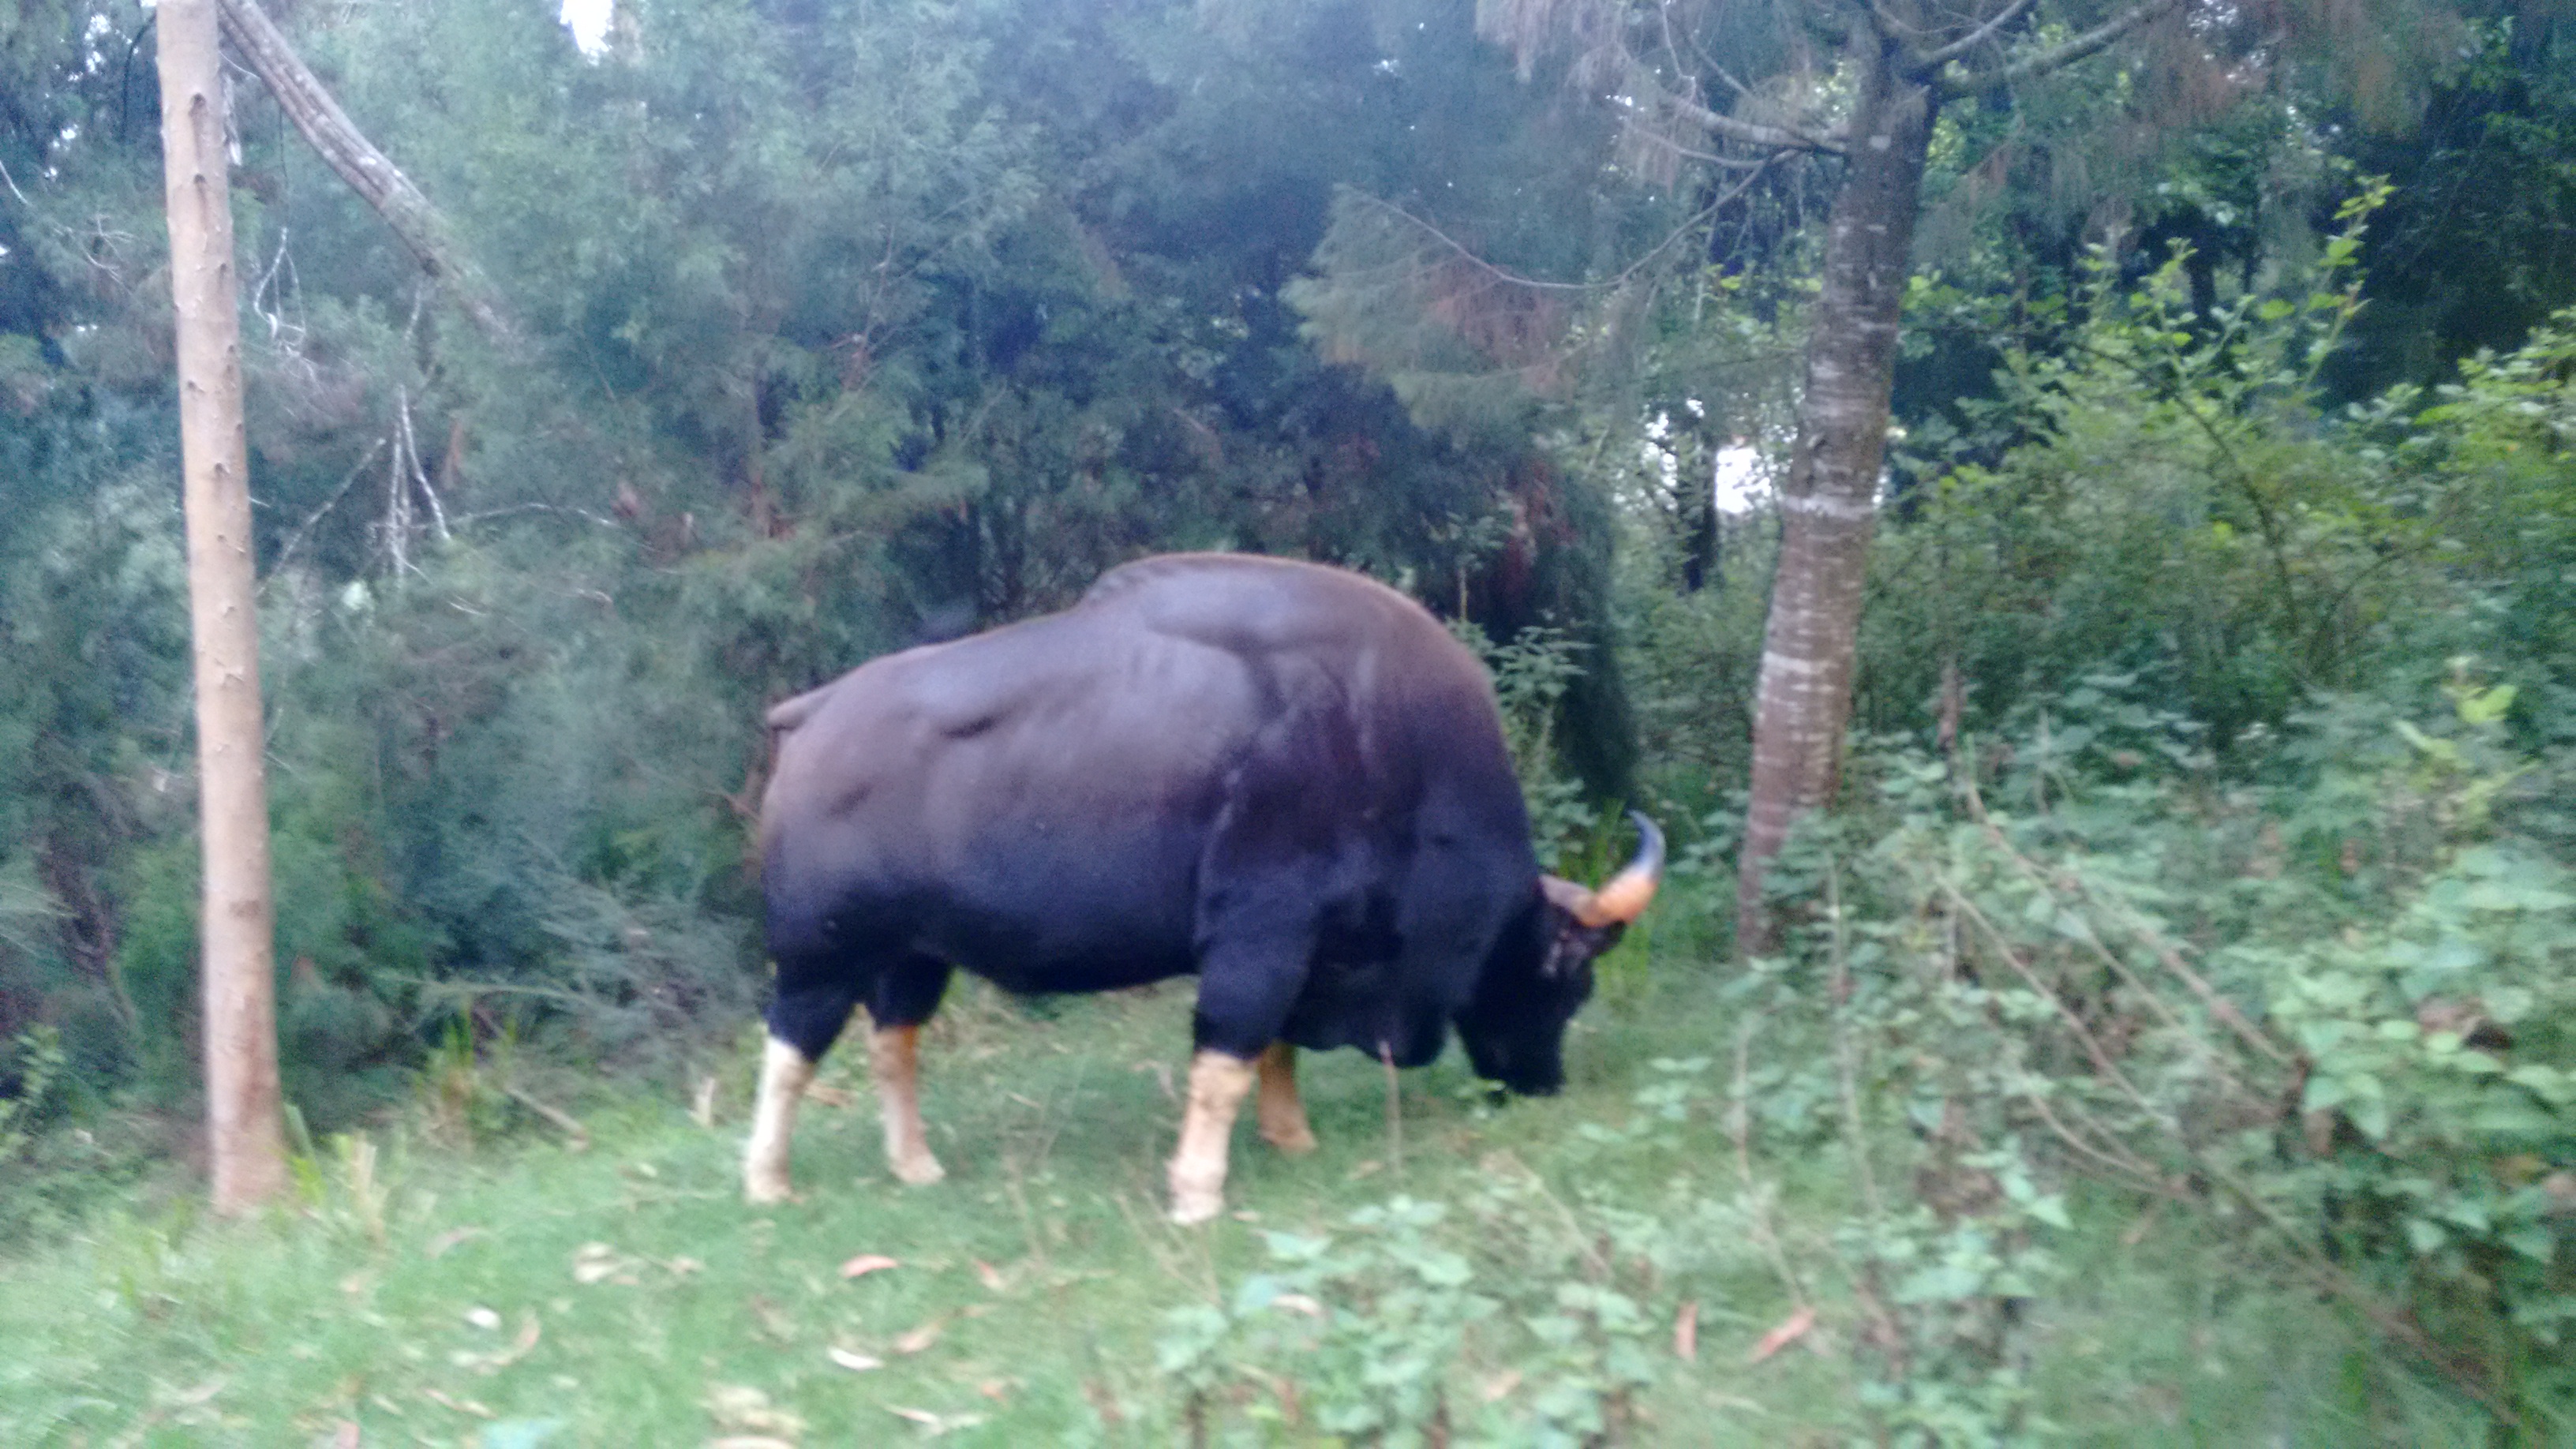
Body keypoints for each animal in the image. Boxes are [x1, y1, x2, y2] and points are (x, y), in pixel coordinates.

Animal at [747, 552, 1669, 1216]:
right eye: (1565, 977)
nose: (1544, 1084)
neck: (1384, 740)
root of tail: (818, 711)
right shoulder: (1260, 933)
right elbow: (1229, 1052)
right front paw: (1197, 1190)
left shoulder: (1305, 947)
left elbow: (1276, 1046)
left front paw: (1291, 1138)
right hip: (819, 955)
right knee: (790, 1049)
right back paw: (766, 1180)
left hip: (913, 956)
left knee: (891, 1046)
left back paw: (916, 1166)